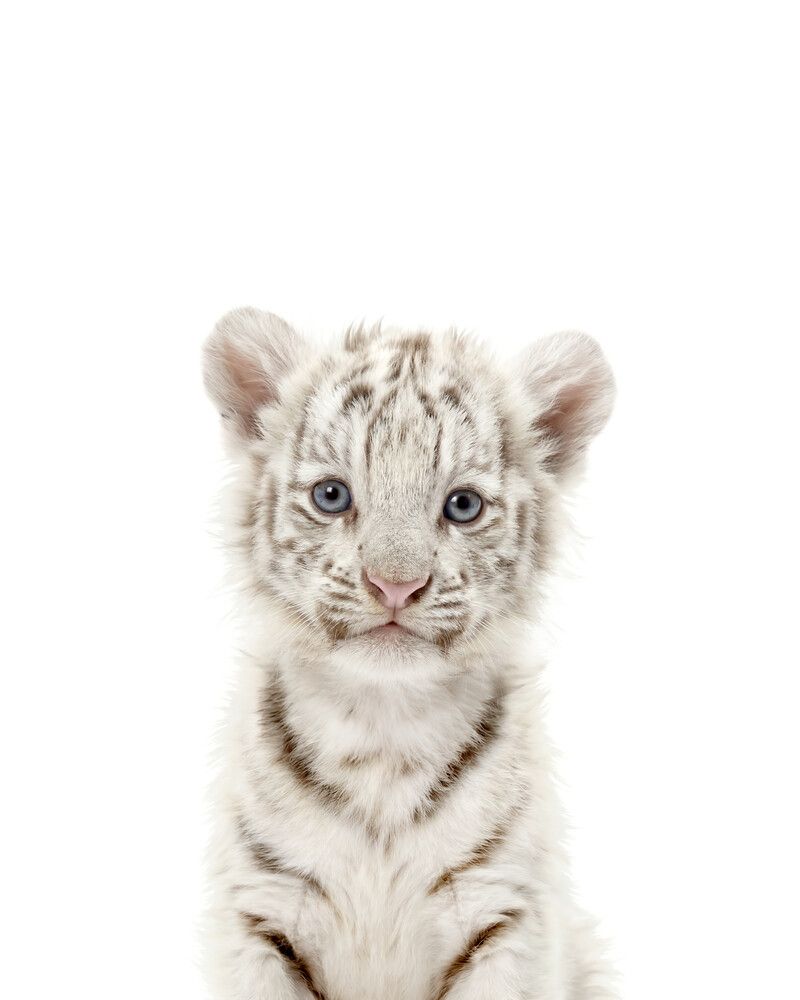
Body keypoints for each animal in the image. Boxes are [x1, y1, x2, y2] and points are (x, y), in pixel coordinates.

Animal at [202, 307, 617, 1000]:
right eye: (332, 496)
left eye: (462, 505)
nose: (394, 584)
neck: (383, 728)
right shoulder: (259, 912)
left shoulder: (505, 914)